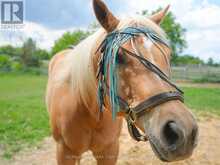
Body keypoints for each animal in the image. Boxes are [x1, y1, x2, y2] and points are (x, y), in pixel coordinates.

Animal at [45, 0, 199, 164]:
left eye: (168, 56)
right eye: (118, 57)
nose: (185, 132)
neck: (88, 109)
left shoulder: (110, 150)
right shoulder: (64, 152)